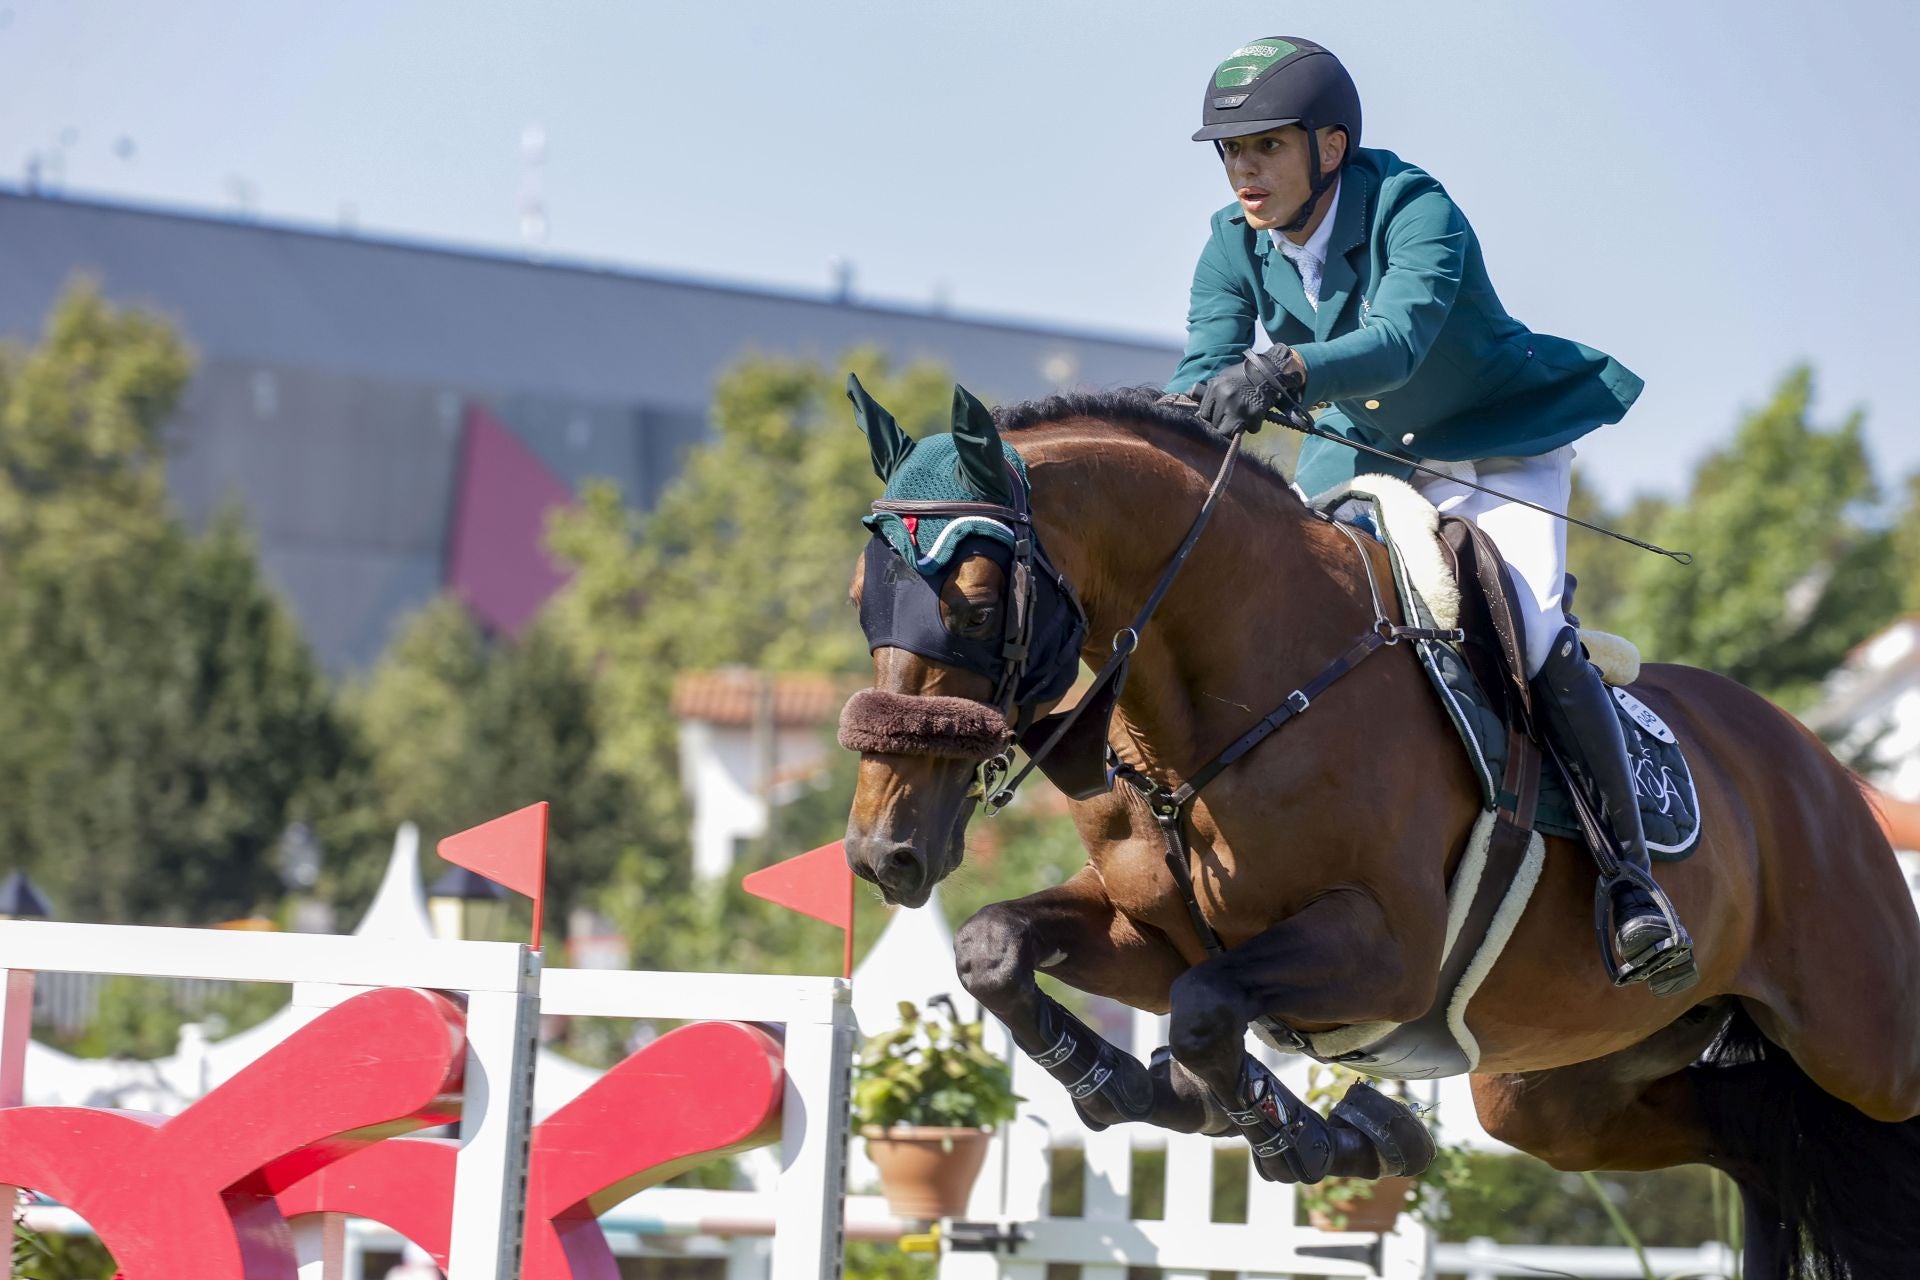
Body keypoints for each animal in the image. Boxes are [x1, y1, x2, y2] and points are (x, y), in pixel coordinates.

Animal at [844, 383, 1920, 1280]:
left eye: (977, 605)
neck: (1237, 690)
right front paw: (1135, 1087)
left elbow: (1203, 1009)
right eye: (863, 600)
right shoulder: (1155, 932)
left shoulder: (1386, 952)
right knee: (1753, 1140)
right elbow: (999, 951)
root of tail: (1826, 772)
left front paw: (1296, 1132)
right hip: (1554, 1089)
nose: (881, 852)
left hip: (1866, 1048)